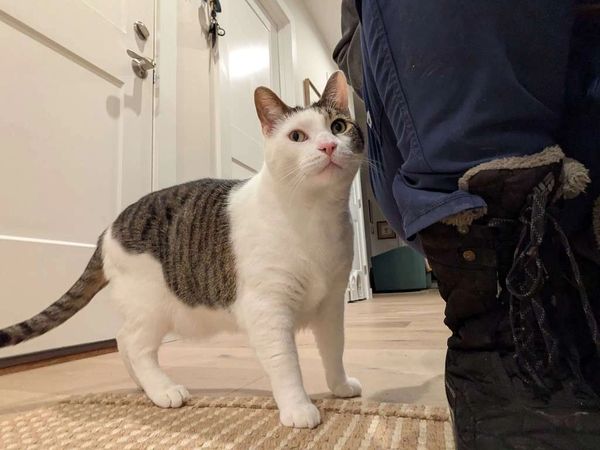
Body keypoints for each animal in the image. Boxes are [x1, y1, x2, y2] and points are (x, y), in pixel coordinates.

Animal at [0, 71, 364, 429]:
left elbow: (335, 348)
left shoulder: (332, 304)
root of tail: (109, 229)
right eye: (297, 136)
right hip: (151, 303)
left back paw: (144, 386)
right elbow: (284, 361)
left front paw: (340, 386)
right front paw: (297, 407)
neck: (315, 217)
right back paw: (163, 389)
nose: (328, 145)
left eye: (338, 127)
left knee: (122, 339)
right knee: (133, 343)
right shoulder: (268, 307)